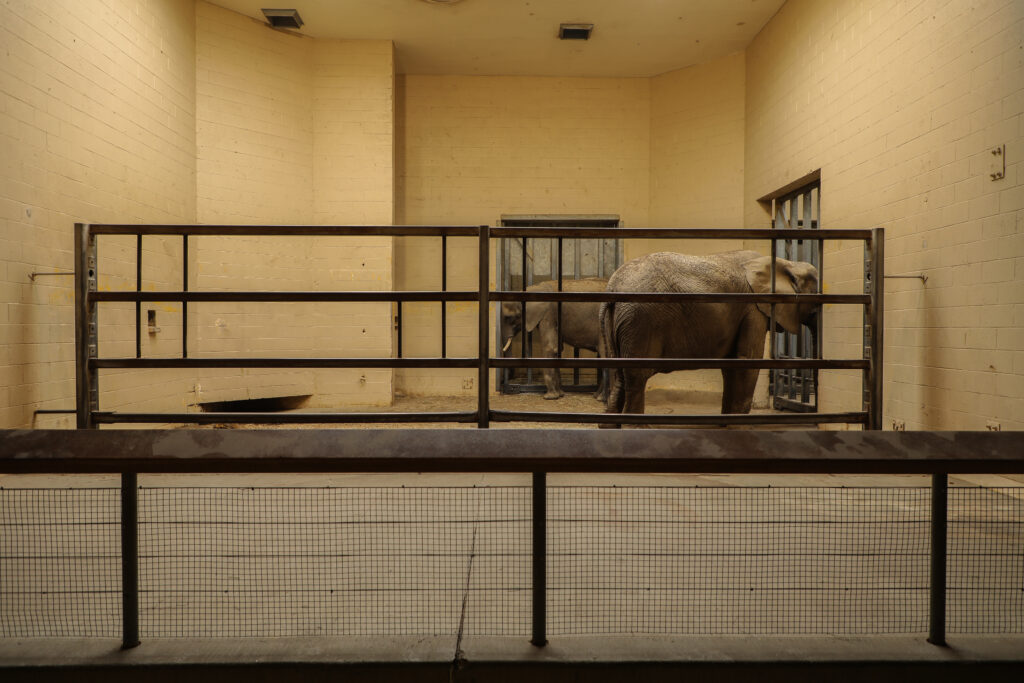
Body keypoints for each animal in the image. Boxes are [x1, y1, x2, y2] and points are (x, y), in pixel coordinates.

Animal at [600, 250, 819, 422]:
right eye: (816, 296)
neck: (785, 263)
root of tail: (612, 285)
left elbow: (732, 365)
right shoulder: (752, 310)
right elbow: (748, 360)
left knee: (620, 377)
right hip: (640, 321)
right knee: (636, 377)